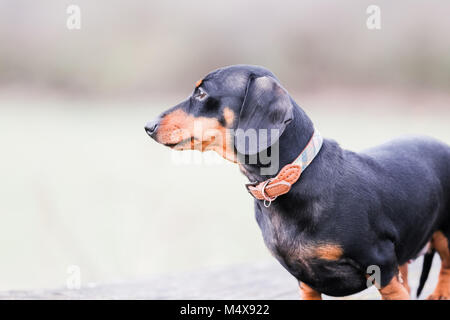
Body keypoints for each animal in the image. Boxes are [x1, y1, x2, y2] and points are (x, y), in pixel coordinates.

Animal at [146, 65, 450, 300]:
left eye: (201, 93)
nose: (148, 126)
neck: (291, 180)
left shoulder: (382, 265)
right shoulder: (306, 282)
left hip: (445, 234)